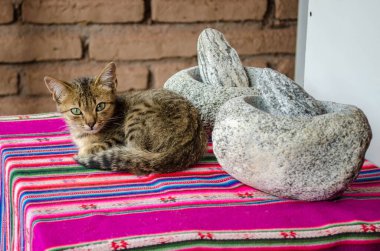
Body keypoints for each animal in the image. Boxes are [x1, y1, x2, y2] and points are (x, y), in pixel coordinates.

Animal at [44, 62, 208, 175]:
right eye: (76, 111)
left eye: (100, 106)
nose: (91, 123)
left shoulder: (118, 136)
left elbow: (102, 145)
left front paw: (86, 150)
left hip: (137, 115)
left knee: (135, 158)